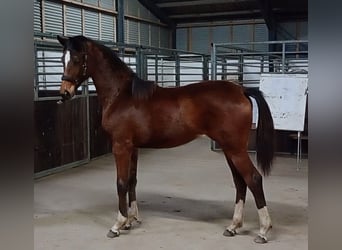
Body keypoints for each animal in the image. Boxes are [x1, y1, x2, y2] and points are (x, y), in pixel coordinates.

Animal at [57, 35, 274, 244]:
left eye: (77, 59)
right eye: (62, 58)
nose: (65, 92)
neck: (121, 95)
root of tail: (241, 90)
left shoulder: (121, 146)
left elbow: (121, 183)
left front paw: (118, 225)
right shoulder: (133, 147)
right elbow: (132, 180)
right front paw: (131, 220)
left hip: (235, 150)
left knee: (253, 179)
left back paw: (263, 231)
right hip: (229, 149)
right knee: (240, 182)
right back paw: (233, 226)